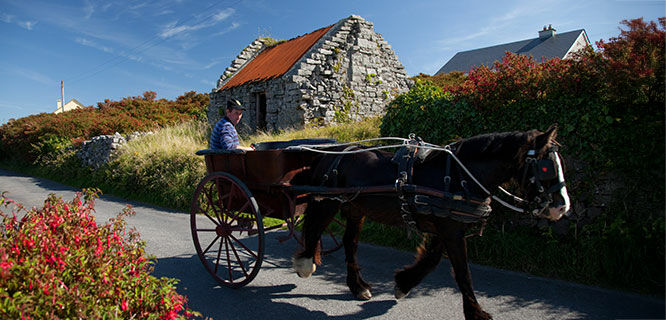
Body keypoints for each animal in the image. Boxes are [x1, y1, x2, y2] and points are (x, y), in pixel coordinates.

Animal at [290, 125, 572, 320]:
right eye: (546, 167)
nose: (562, 207)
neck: (458, 176)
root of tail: (334, 153)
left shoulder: (447, 226)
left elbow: (433, 260)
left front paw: (404, 283)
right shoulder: (451, 230)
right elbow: (463, 272)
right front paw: (476, 313)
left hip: (355, 208)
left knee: (350, 243)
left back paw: (357, 286)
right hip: (328, 202)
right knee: (315, 229)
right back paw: (305, 263)